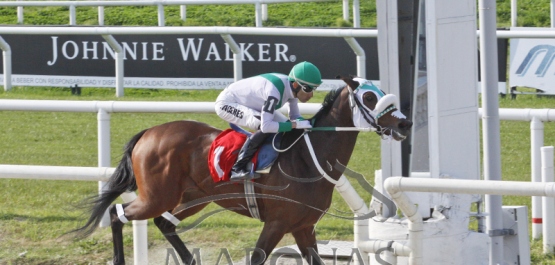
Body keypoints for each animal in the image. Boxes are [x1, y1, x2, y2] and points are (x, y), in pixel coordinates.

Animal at [73, 75, 412, 262]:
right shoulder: (277, 223)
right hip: (158, 196)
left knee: (165, 224)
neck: (307, 158)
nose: (404, 122)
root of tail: (148, 132)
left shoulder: (304, 227)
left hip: (195, 197)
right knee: (117, 214)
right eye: (369, 96)